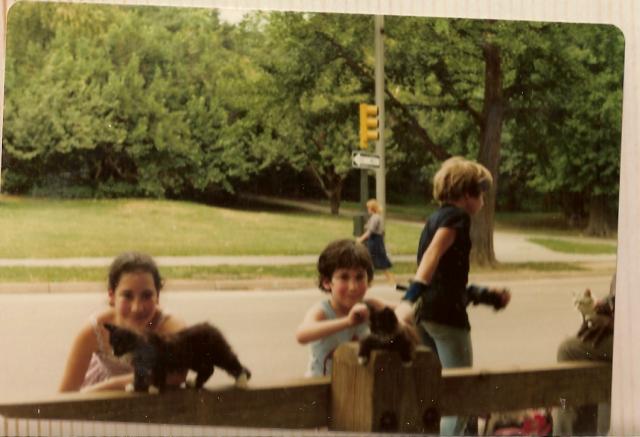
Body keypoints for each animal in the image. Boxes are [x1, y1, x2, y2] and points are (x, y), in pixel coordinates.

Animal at [104, 320, 250, 392]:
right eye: (111, 345)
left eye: (120, 346)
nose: (114, 353)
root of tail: (211, 327)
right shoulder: (140, 367)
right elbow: (138, 376)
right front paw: (134, 387)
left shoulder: (159, 363)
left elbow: (158, 375)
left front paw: (155, 388)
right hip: (195, 359)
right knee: (208, 369)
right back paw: (195, 383)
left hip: (218, 352)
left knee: (231, 361)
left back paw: (242, 380)